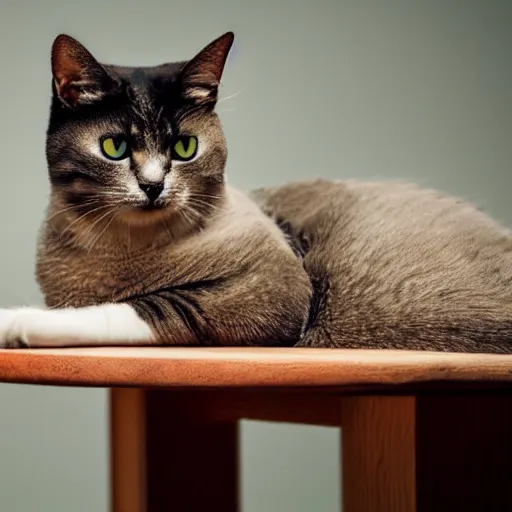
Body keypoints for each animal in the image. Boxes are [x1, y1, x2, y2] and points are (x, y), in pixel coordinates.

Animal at [0, 31, 510, 352]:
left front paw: (16, 322)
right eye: (115, 147)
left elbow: (143, 307)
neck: (110, 255)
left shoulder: (270, 292)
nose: (152, 185)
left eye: (184, 147)